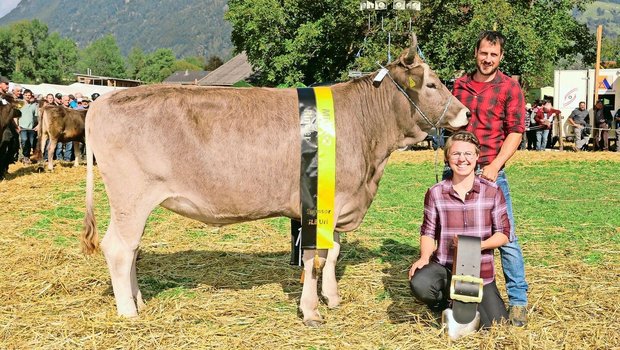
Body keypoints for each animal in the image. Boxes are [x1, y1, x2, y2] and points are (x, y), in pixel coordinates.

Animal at [82, 37, 470, 326]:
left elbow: (333, 252)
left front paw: (331, 297)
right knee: (118, 248)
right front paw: (311, 311)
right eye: (432, 83)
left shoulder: (337, 203)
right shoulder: (320, 204)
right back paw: (128, 311)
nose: (465, 112)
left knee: (132, 249)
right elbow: (314, 258)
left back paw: (139, 301)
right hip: (130, 198)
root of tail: (104, 100)